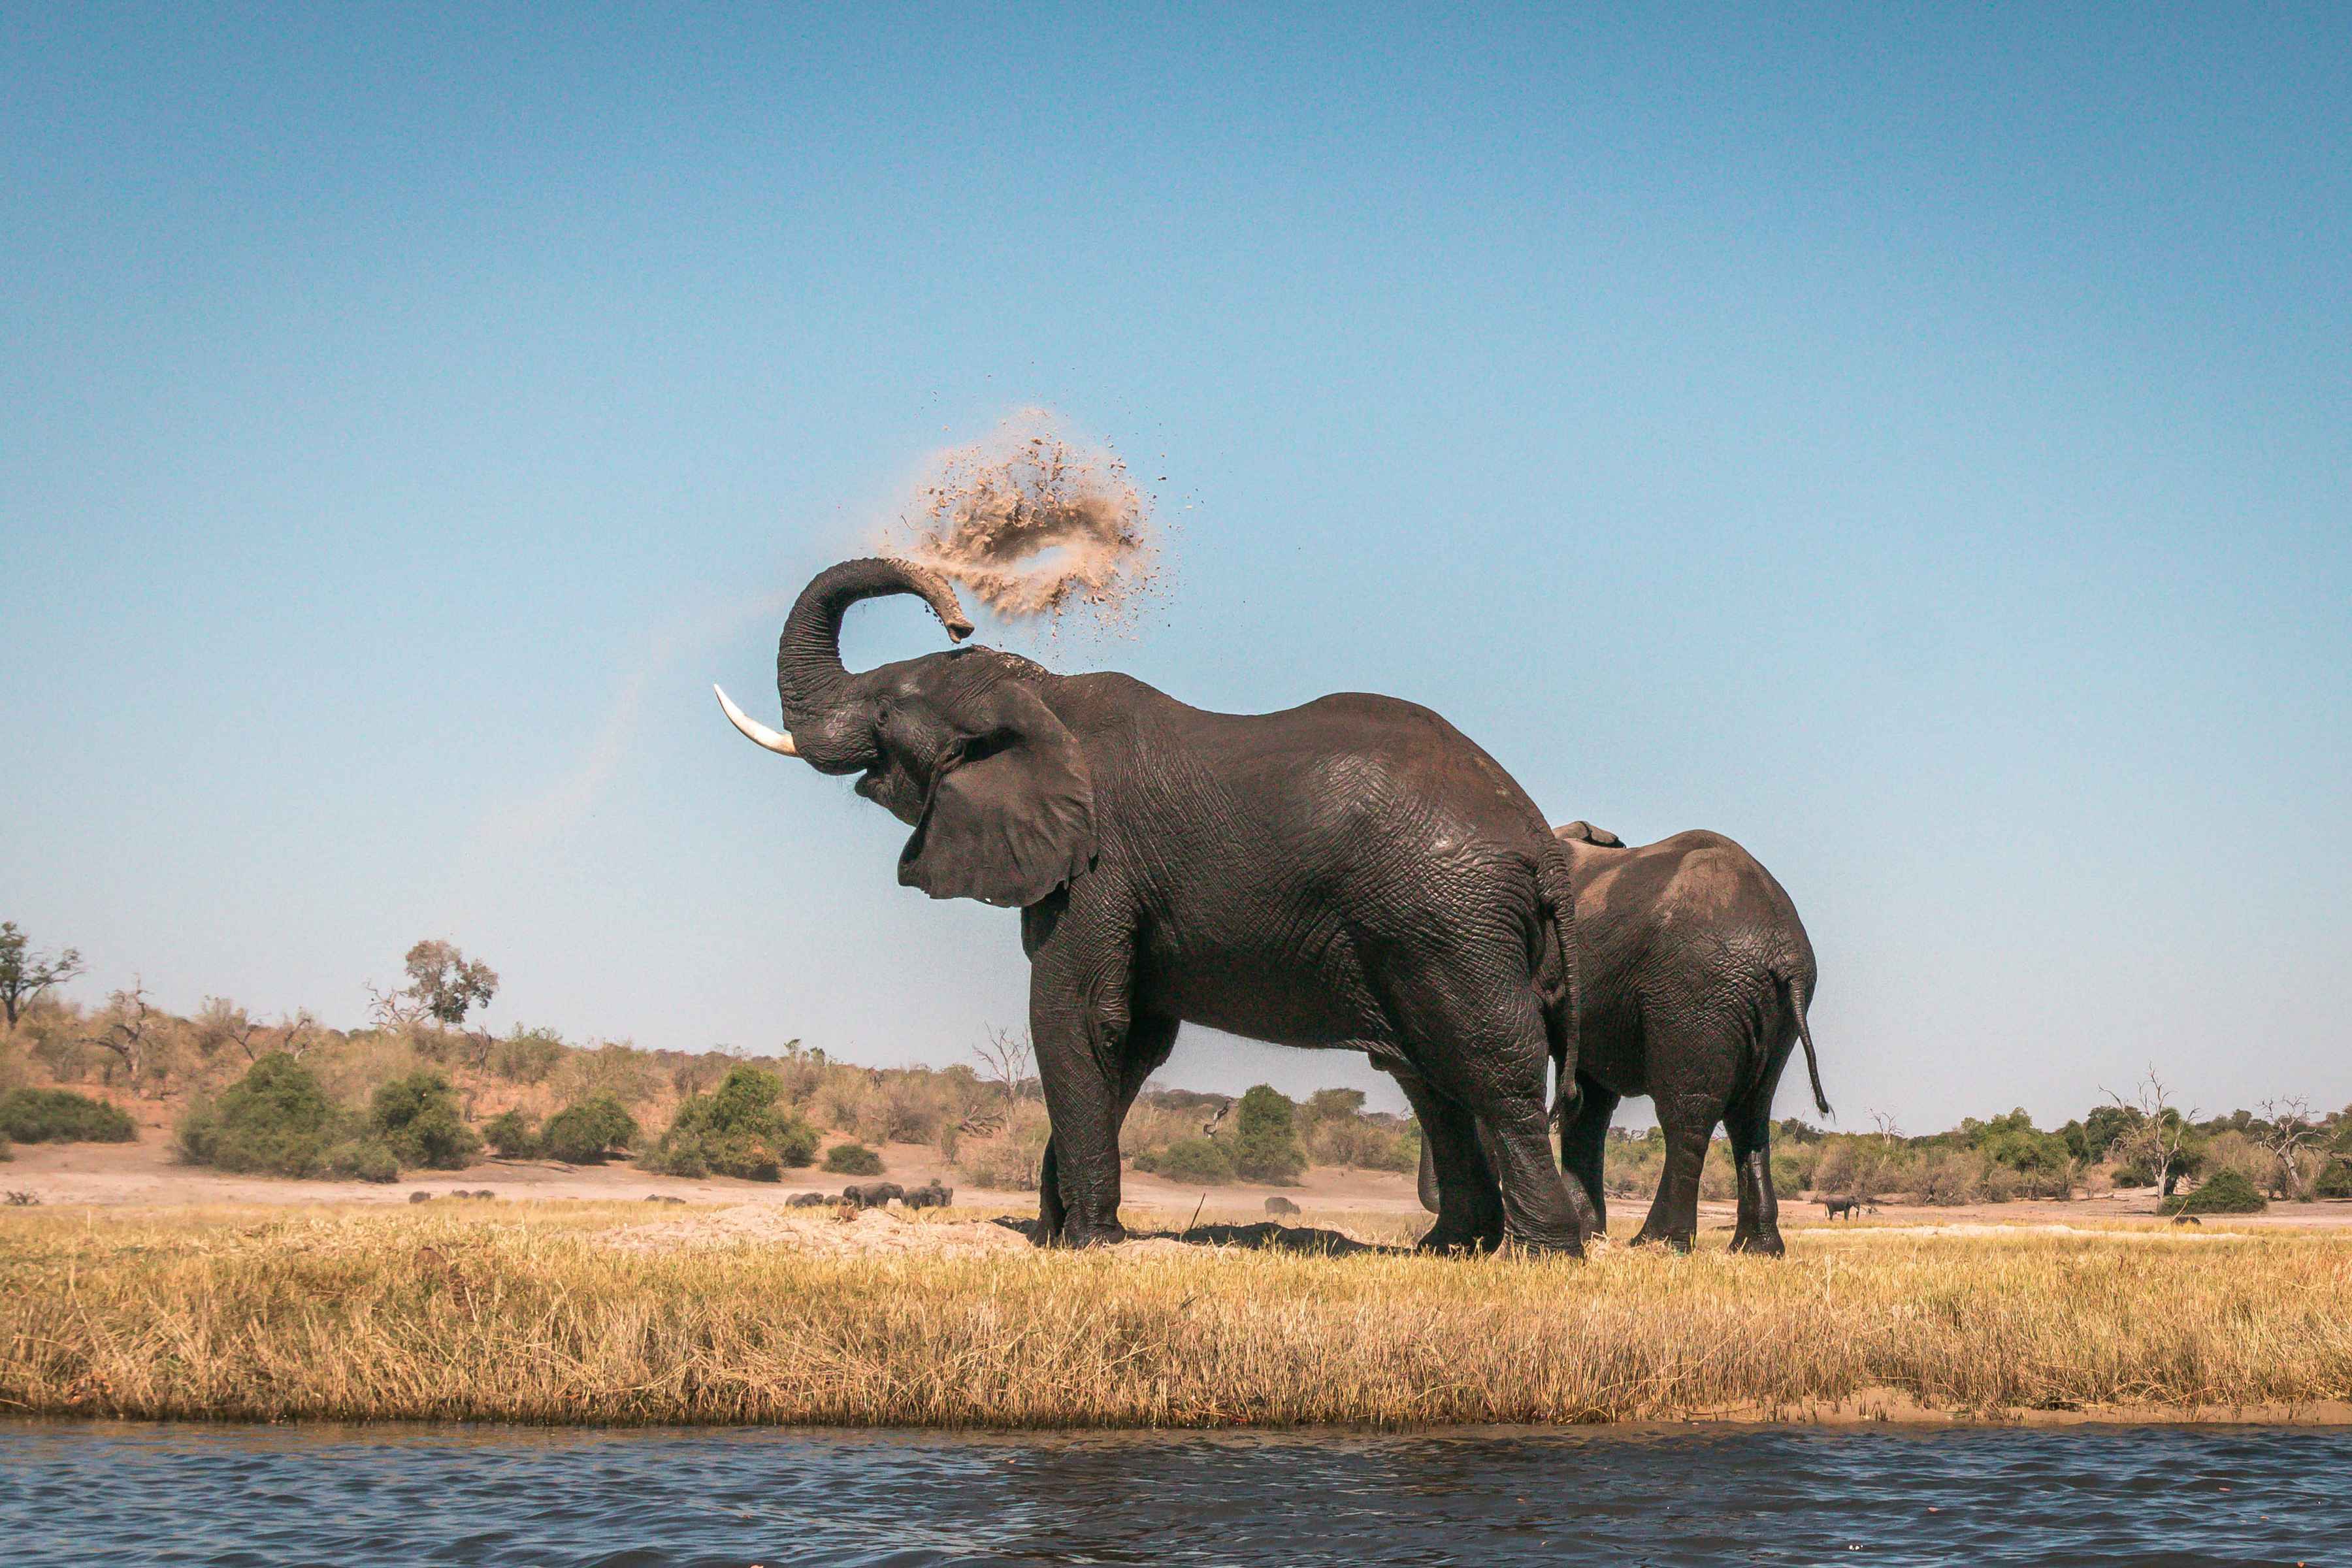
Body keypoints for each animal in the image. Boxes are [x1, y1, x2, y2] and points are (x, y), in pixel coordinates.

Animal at [717, 557, 1595, 1253]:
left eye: (887, 710)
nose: (961, 615)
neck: (1042, 695)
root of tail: (1541, 841)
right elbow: (1133, 1039)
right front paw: (1059, 1235)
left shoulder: (1098, 865)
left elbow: (1076, 1016)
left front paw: (1085, 1244)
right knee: (1432, 1076)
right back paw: (1451, 1250)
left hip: (1447, 919)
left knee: (1490, 1066)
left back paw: (1539, 1257)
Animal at [1414, 821, 1828, 1255]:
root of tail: (1784, 953)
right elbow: (1588, 1102)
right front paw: (1587, 1234)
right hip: (1771, 1012)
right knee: (1751, 1116)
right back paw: (1755, 1249)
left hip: (1695, 994)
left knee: (1687, 1113)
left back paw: (1656, 1242)